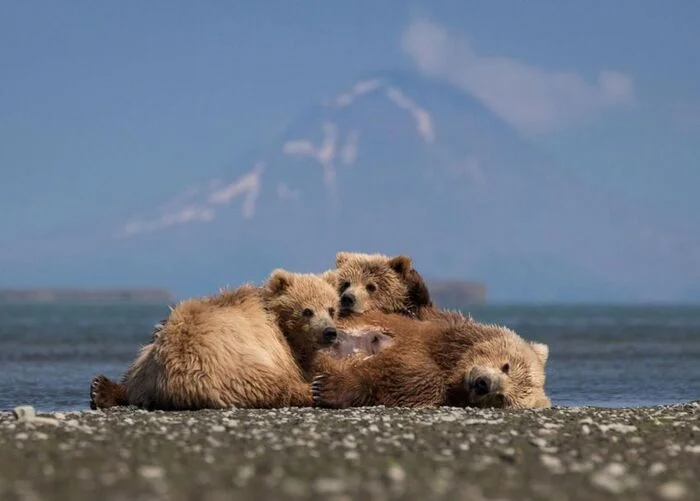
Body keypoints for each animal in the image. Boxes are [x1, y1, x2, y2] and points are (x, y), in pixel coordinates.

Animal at [89, 268, 342, 412]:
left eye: (331, 309)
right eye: (307, 311)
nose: (329, 332)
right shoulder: (278, 347)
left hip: (150, 359)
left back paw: (102, 389)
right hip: (235, 364)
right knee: (275, 385)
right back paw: (318, 389)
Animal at [314, 308, 552, 410]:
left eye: (502, 398)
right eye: (506, 366)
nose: (483, 384)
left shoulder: (432, 387)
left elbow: (401, 383)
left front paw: (326, 386)